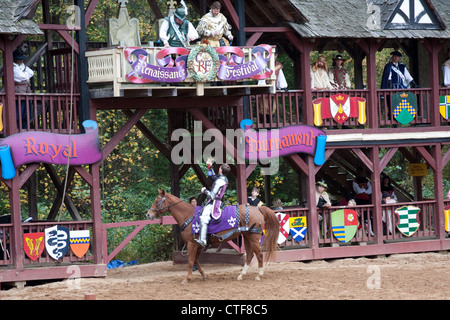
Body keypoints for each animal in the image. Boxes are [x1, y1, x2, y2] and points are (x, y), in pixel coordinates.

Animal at [147, 189, 282, 284]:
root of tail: (257, 209)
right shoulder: (199, 245)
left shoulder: (192, 243)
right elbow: (196, 260)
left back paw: (259, 275)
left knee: (259, 255)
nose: (148, 214)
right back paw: (241, 275)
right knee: (249, 255)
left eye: (157, 201)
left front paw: (187, 278)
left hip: (253, 237)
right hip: (248, 237)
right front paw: (203, 275)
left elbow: (190, 261)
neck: (188, 215)